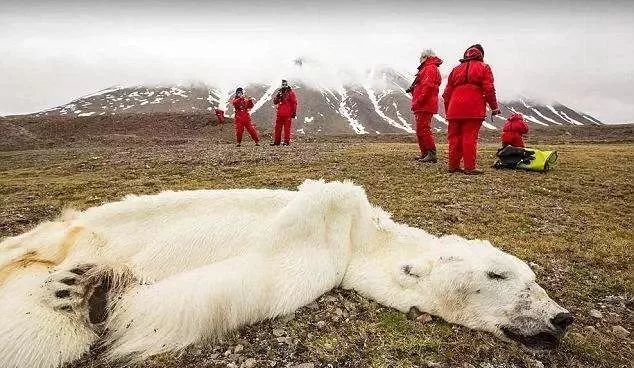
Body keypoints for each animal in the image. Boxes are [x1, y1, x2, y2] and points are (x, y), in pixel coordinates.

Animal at [0, 179, 572, 368]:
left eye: (533, 278)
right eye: (500, 275)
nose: (561, 318)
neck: (359, 235)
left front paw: (103, 293)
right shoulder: (324, 224)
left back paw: (77, 288)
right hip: (61, 237)